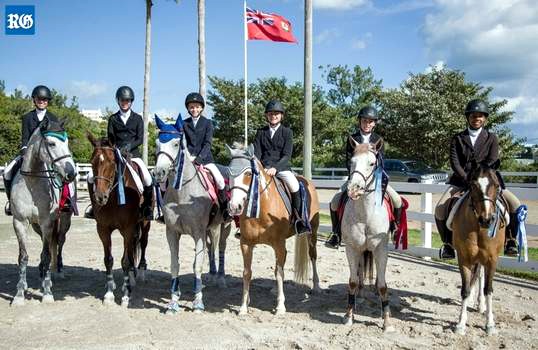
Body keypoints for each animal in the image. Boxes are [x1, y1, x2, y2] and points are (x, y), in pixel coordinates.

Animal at [9, 119, 76, 304]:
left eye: (67, 143)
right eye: (51, 143)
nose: (72, 173)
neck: (32, 181)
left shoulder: (47, 223)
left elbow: (47, 255)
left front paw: (47, 293)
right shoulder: (19, 222)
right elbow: (23, 257)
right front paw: (19, 293)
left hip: (63, 222)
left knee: (59, 243)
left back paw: (57, 272)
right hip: (36, 226)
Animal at [87, 133, 151, 306]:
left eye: (112, 162)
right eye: (92, 162)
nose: (100, 197)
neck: (114, 197)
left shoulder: (128, 228)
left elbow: (125, 261)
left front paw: (126, 295)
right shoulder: (103, 229)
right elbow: (108, 259)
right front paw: (109, 293)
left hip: (144, 223)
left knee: (142, 243)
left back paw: (140, 273)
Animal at [152, 115, 227, 314]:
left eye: (177, 143)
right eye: (157, 144)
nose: (159, 173)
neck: (182, 194)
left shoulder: (198, 233)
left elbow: (197, 265)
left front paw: (198, 302)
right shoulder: (172, 232)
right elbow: (175, 264)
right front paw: (173, 302)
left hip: (222, 226)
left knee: (219, 247)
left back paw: (219, 278)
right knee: (210, 248)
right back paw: (211, 276)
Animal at [226, 142, 318, 314]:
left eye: (248, 173)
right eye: (229, 173)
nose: (234, 207)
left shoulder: (279, 243)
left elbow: (280, 273)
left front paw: (280, 306)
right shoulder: (246, 244)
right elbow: (247, 273)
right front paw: (243, 307)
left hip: (312, 233)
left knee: (312, 255)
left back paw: (316, 286)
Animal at [450, 163, 504, 334]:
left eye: (497, 185)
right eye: (473, 185)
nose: (486, 219)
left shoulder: (492, 260)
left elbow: (488, 290)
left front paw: (490, 324)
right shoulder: (464, 258)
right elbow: (465, 290)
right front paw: (461, 324)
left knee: (480, 276)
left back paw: (481, 306)